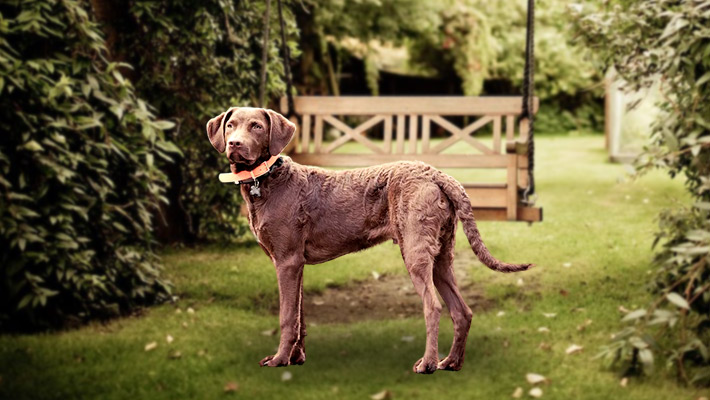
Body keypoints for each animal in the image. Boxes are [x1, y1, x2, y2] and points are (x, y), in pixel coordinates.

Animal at [206, 107, 536, 376]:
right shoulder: (296, 264)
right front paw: (296, 358)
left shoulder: (287, 261)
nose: (235, 144)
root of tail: (437, 174)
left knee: (433, 306)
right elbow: (300, 315)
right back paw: (451, 362)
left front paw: (279, 360)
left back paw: (427, 364)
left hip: (415, 252)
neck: (266, 180)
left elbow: (287, 316)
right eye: (230, 125)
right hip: (442, 255)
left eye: (256, 126)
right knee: (462, 311)